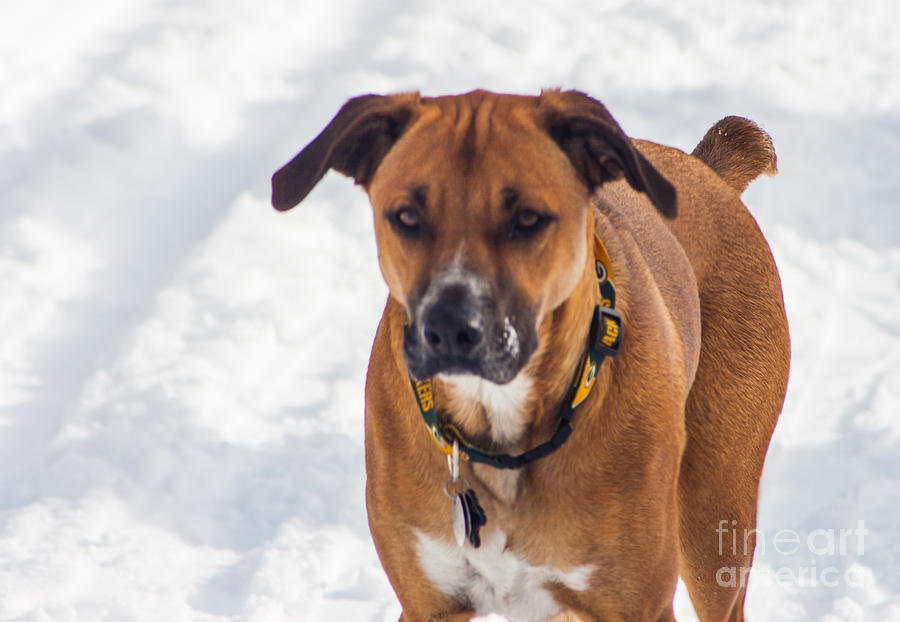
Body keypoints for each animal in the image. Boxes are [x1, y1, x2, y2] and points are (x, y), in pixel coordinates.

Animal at [272, 89, 788, 622]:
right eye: (407, 216)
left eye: (528, 218)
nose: (450, 329)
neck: (498, 422)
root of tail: (706, 169)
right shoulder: (430, 602)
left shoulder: (635, 602)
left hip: (714, 512)